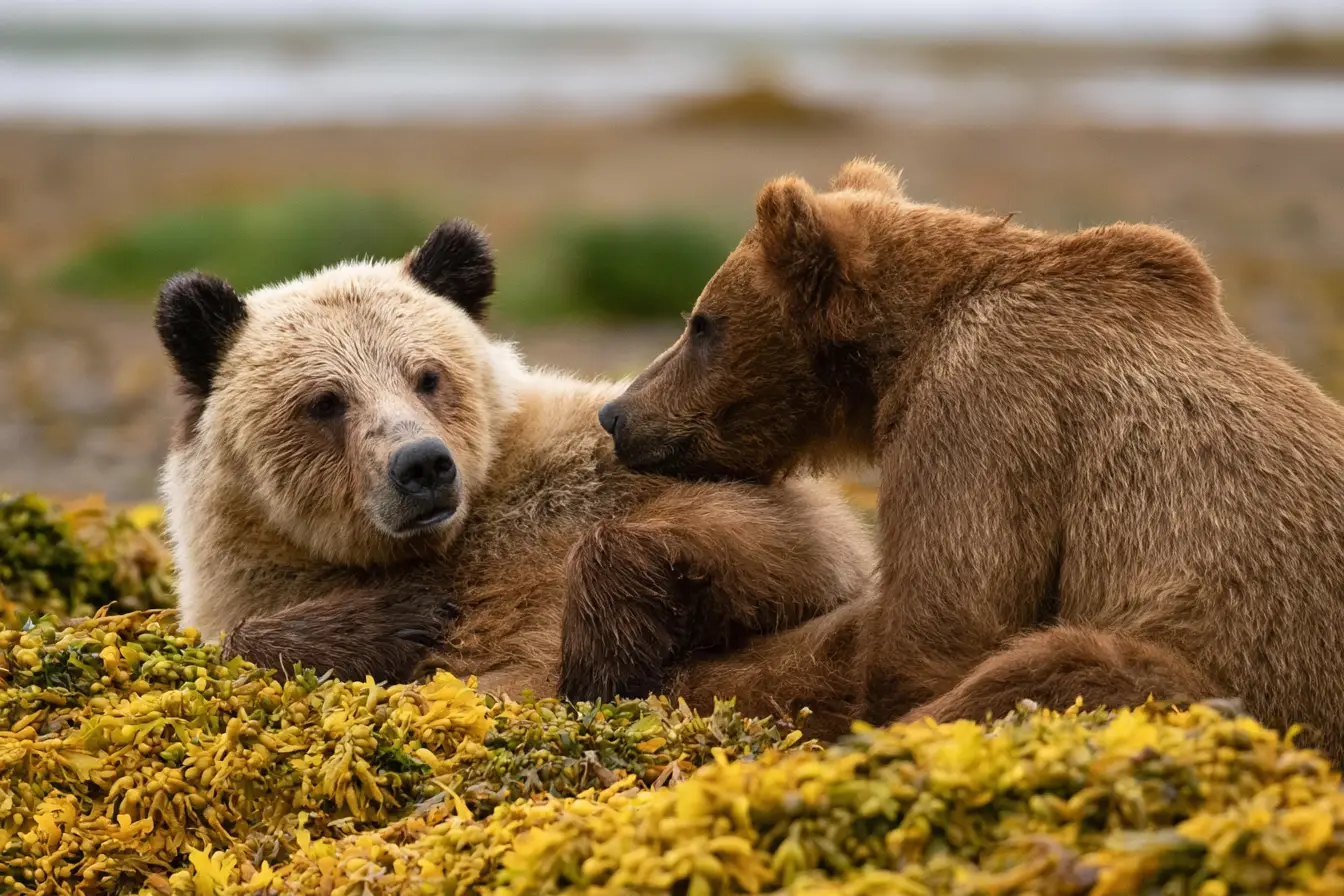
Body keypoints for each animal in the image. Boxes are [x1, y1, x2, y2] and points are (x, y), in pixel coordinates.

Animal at [153, 217, 876, 717]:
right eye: (326, 400)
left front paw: (597, 657)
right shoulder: (245, 581)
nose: (422, 465)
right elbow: (231, 642)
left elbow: (797, 537)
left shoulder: (601, 466)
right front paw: (395, 617)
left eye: (427, 375)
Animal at [583, 157, 1344, 761]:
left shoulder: (984, 409)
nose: (616, 412)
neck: (906, 346)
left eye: (702, 323)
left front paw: (680, 678)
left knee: (1066, 668)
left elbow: (934, 628)